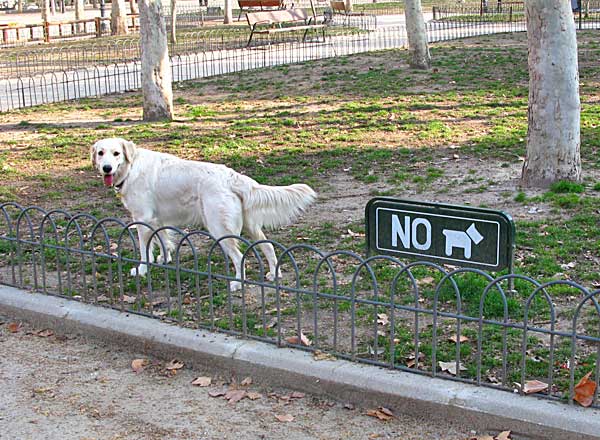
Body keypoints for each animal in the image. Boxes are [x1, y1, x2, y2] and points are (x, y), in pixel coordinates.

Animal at [91, 137, 316, 288]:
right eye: (100, 153)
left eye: (116, 153)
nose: (106, 168)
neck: (131, 168)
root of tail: (233, 176)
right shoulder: (157, 219)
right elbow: (163, 241)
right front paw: (165, 259)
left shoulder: (142, 218)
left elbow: (145, 251)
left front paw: (142, 270)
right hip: (249, 225)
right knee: (268, 246)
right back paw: (272, 274)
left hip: (219, 228)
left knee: (238, 256)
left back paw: (237, 283)